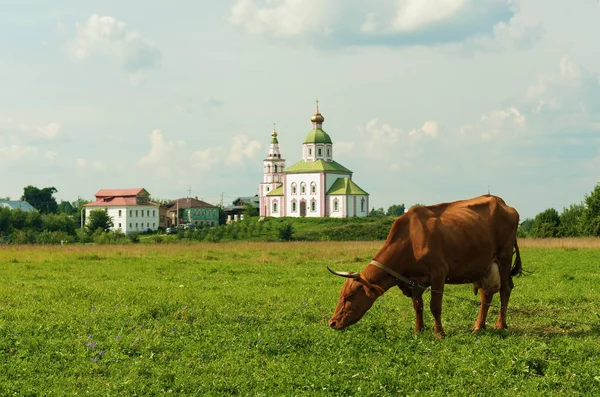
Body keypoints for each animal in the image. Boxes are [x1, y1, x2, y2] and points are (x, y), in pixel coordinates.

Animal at [328, 193, 520, 336]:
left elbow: (435, 306)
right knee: (485, 294)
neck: (411, 239)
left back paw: (500, 324)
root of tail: (501, 202)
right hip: (484, 266)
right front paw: (418, 330)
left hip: (503, 257)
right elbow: (417, 306)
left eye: (350, 296)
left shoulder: (439, 273)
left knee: (505, 289)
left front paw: (439, 333)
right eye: (341, 294)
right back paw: (479, 326)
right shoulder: (415, 281)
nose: (332, 322)